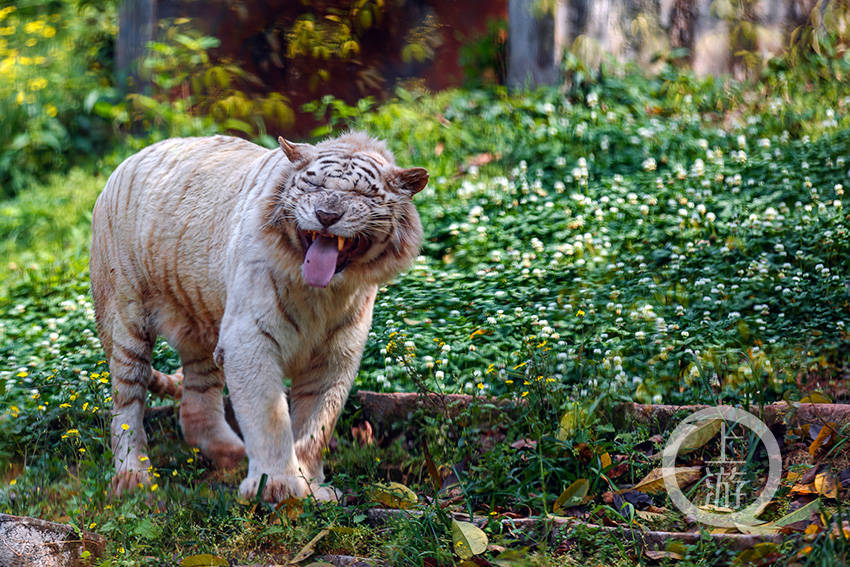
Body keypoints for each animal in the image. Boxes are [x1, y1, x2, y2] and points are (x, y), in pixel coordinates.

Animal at [89, 130, 428, 502]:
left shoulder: (335, 354)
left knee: (198, 397)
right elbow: (269, 415)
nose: (326, 215)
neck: (324, 294)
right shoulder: (250, 338)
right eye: (313, 185)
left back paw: (230, 453)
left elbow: (317, 423)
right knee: (126, 401)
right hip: (126, 317)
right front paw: (276, 486)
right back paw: (133, 478)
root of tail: (128, 159)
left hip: (203, 319)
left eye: (362, 194)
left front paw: (312, 486)